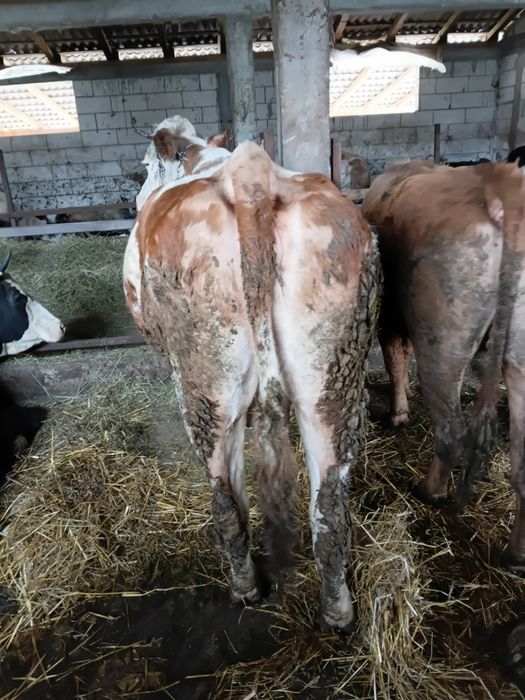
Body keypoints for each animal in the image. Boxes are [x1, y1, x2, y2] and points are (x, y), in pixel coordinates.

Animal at [123, 116, 379, 630]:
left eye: (145, 165)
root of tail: (250, 178)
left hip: (209, 388)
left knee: (226, 501)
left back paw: (244, 588)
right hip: (332, 383)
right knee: (329, 510)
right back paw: (338, 611)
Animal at [362, 159, 525, 571]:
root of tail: (503, 184)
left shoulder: (390, 316)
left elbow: (395, 357)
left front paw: (398, 414)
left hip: (442, 341)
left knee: (451, 431)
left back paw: (430, 491)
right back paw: (516, 555)